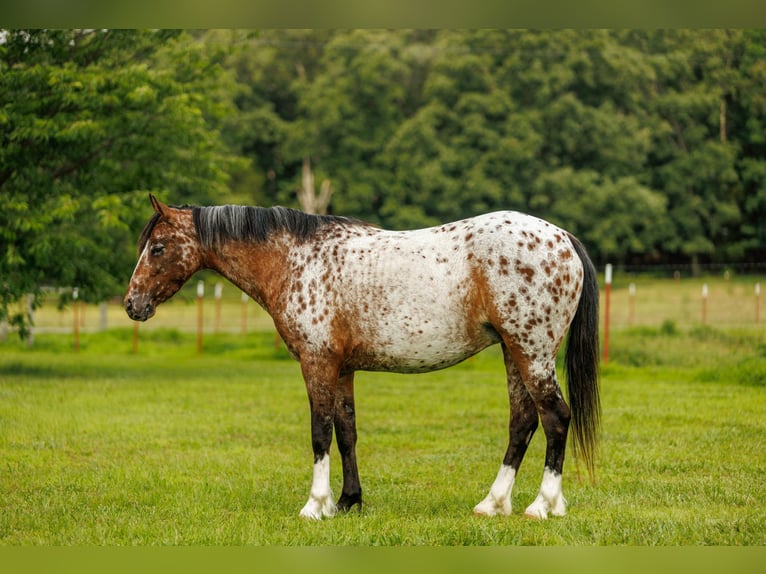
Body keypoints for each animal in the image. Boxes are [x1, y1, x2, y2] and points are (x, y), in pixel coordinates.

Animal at [124, 194, 600, 520]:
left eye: (158, 247)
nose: (133, 304)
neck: (296, 260)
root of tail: (563, 238)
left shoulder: (317, 363)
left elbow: (319, 432)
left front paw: (315, 505)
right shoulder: (343, 370)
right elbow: (346, 432)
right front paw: (348, 501)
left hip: (531, 352)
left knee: (556, 417)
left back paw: (544, 505)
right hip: (513, 352)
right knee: (523, 421)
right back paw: (493, 502)